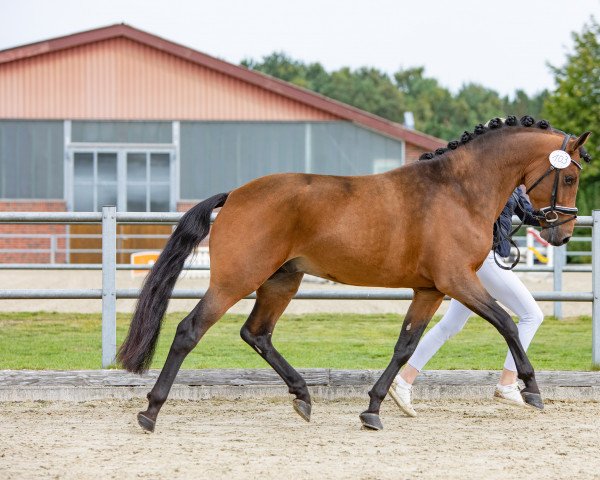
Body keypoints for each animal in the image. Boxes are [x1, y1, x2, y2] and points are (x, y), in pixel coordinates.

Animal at [117, 115, 592, 432]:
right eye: (569, 176)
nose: (564, 233)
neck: (458, 190)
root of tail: (234, 195)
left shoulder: (430, 290)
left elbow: (405, 347)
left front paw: (374, 409)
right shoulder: (458, 282)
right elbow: (507, 323)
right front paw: (531, 389)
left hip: (282, 281)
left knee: (257, 333)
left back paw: (303, 396)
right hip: (236, 281)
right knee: (189, 331)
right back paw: (150, 412)